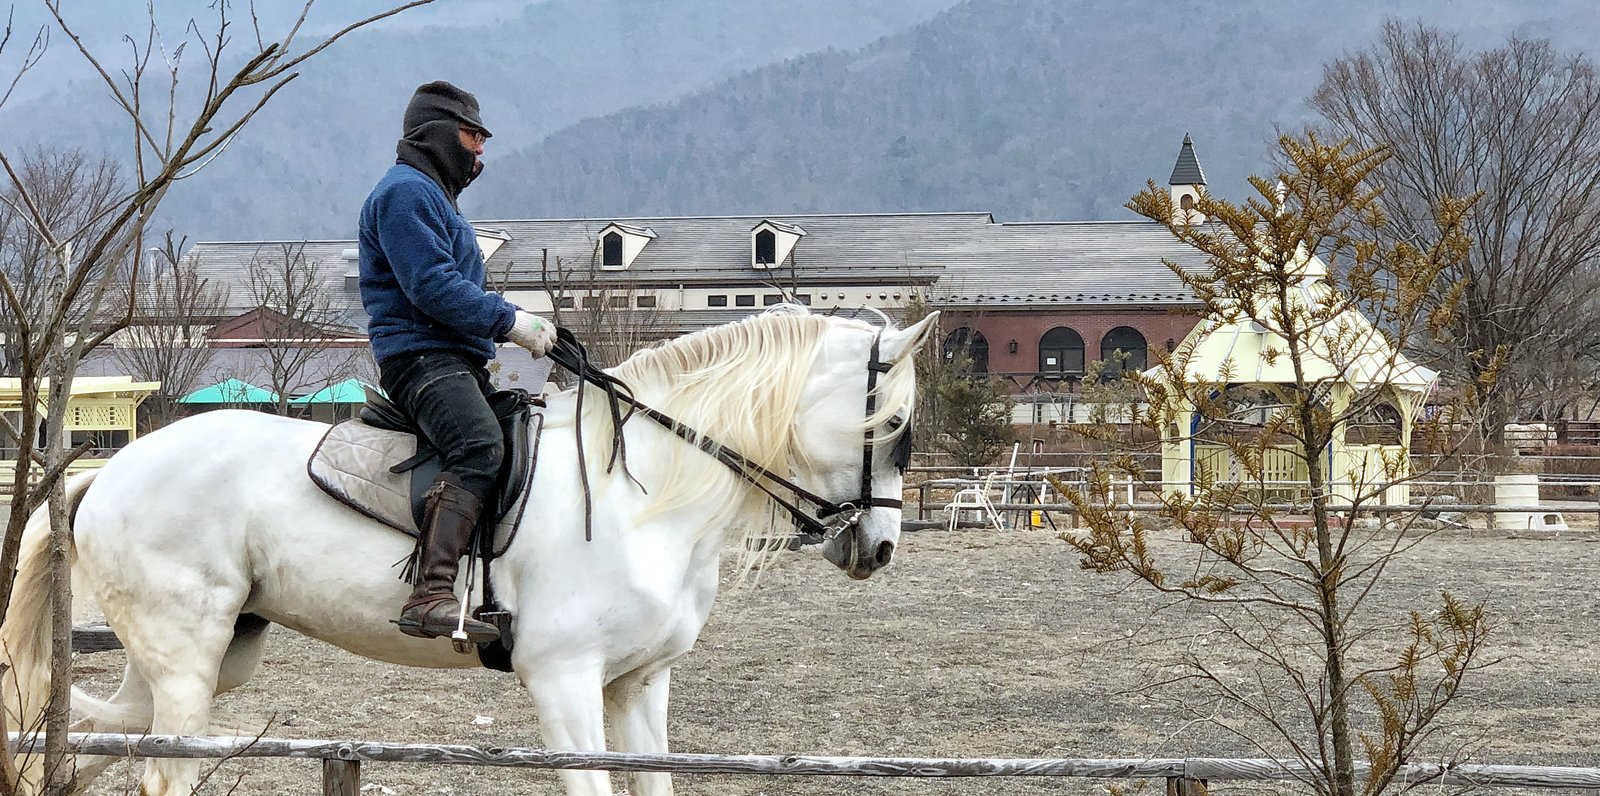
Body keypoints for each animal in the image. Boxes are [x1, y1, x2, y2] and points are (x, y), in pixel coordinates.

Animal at [0, 310, 934, 796]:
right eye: (889, 425)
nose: (880, 548)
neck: (641, 498)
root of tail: (110, 470)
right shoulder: (564, 684)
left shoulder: (640, 685)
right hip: (188, 663)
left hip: (206, 658)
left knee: (97, 734)